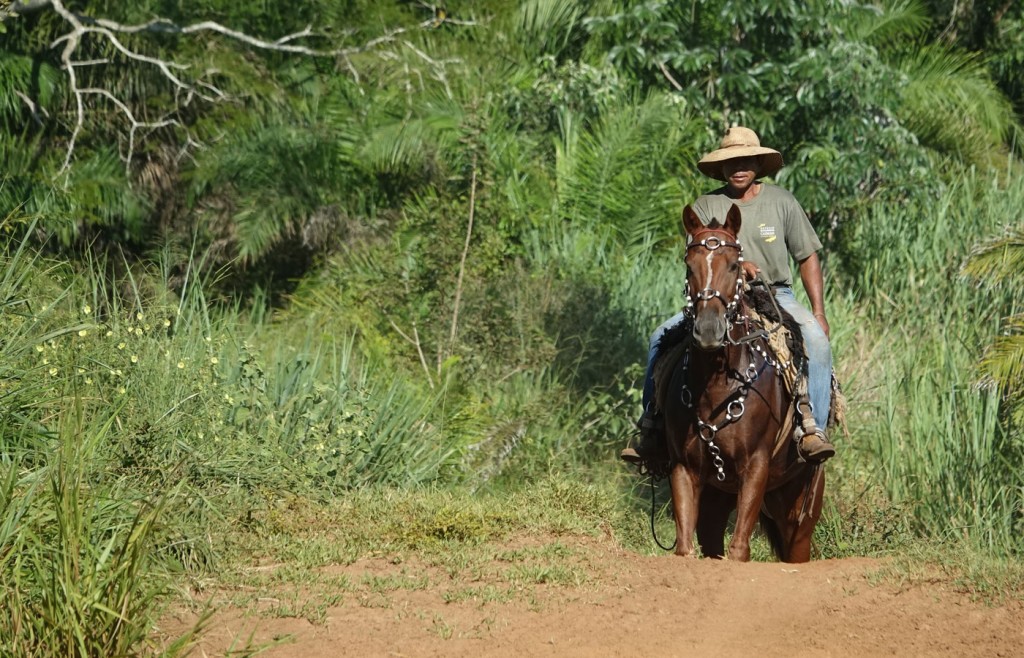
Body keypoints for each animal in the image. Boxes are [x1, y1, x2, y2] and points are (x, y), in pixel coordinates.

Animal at [663, 204, 823, 560]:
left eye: (734, 265)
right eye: (689, 266)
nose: (709, 330)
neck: (717, 384)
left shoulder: (756, 465)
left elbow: (739, 549)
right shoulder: (684, 467)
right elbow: (684, 548)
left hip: (801, 506)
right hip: (720, 497)